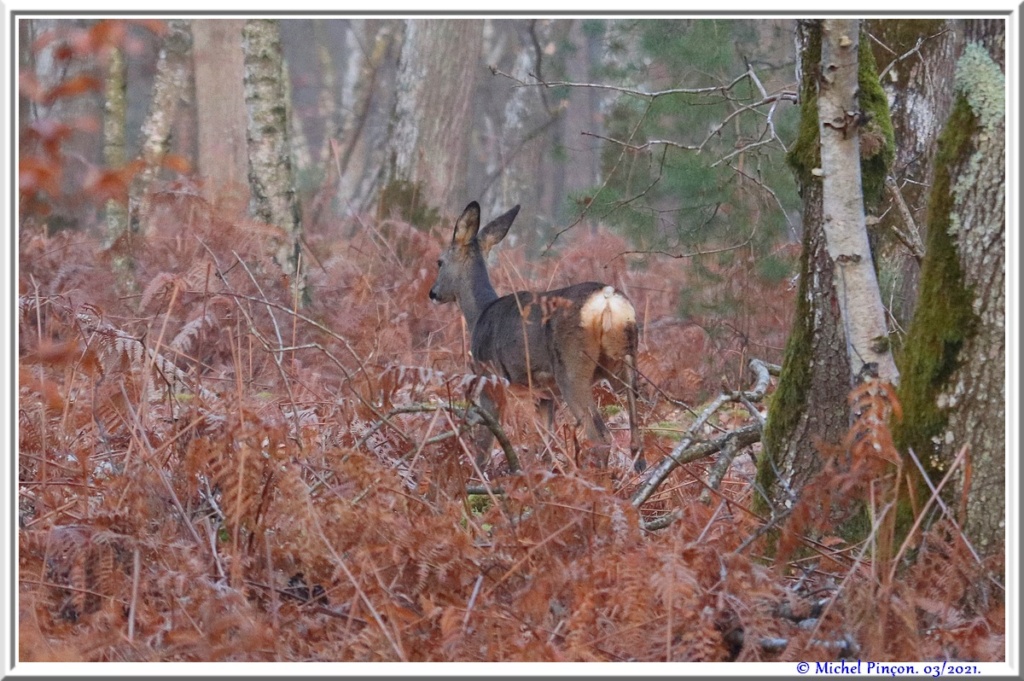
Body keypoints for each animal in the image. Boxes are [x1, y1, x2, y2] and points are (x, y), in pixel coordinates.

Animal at [428, 199, 643, 471]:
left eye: (440, 261)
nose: (433, 293)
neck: (479, 314)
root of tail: (608, 301)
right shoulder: (545, 393)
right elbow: (546, 442)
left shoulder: (490, 374)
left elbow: (487, 440)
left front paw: (480, 473)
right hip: (626, 360)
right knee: (636, 439)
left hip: (572, 368)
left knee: (600, 436)